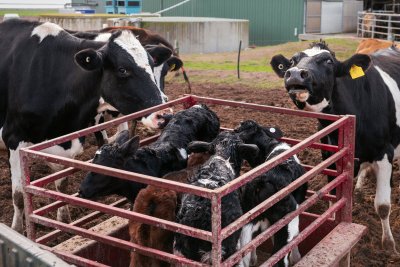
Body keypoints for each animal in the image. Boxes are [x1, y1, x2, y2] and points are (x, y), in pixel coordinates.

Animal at [0, 18, 167, 232]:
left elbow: (61, 185)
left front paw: (64, 221)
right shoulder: (14, 138)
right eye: (123, 70)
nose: (164, 115)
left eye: (152, 64)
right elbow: (19, 195)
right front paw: (17, 230)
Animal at [268, 42, 400, 253]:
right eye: (292, 61)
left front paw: (388, 245)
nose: (295, 74)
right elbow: (332, 193)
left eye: (329, 61)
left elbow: (383, 206)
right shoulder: (329, 152)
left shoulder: (384, 153)